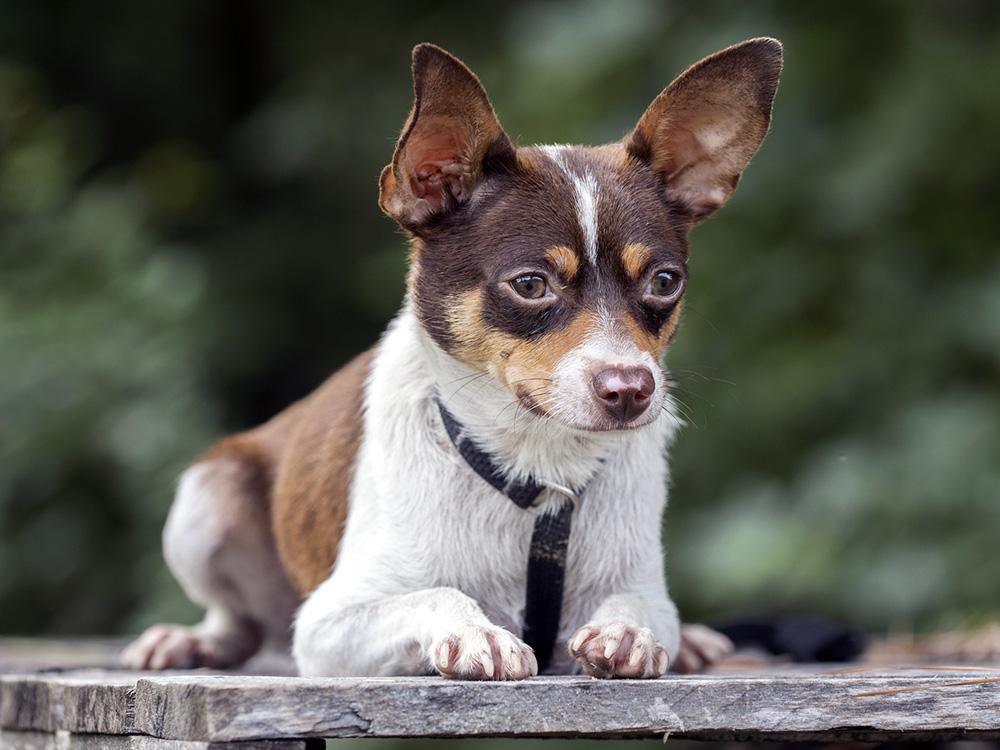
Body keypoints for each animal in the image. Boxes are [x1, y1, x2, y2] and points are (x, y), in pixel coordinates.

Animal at [123, 36, 780, 680]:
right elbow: (436, 593)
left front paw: (629, 631)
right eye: (531, 285)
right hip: (206, 498)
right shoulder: (327, 623)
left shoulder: (642, 586)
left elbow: (641, 609)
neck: (536, 469)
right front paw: (474, 632)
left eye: (665, 282)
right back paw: (192, 641)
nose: (630, 389)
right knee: (239, 623)